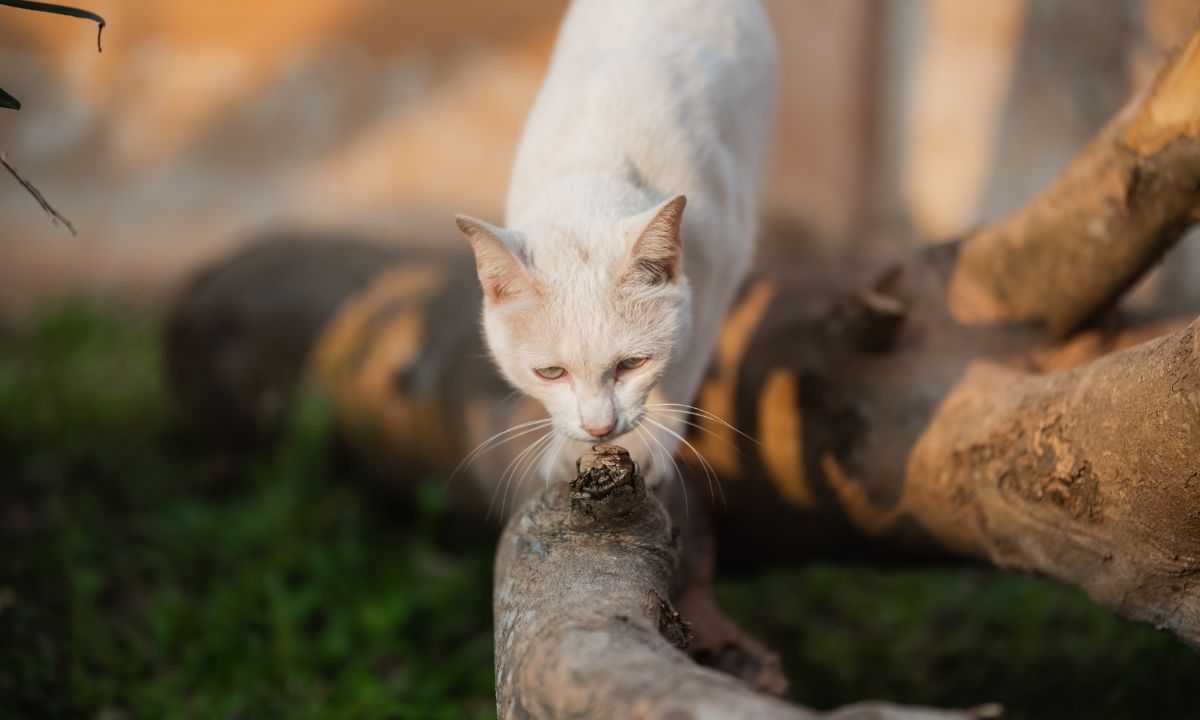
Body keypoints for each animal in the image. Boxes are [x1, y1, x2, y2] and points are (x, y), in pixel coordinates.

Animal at [456, 0, 777, 484]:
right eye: (551, 372)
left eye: (632, 364)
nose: (600, 428)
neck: (595, 163)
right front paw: (569, 449)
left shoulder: (725, 257)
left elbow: (686, 359)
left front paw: (650, 442)